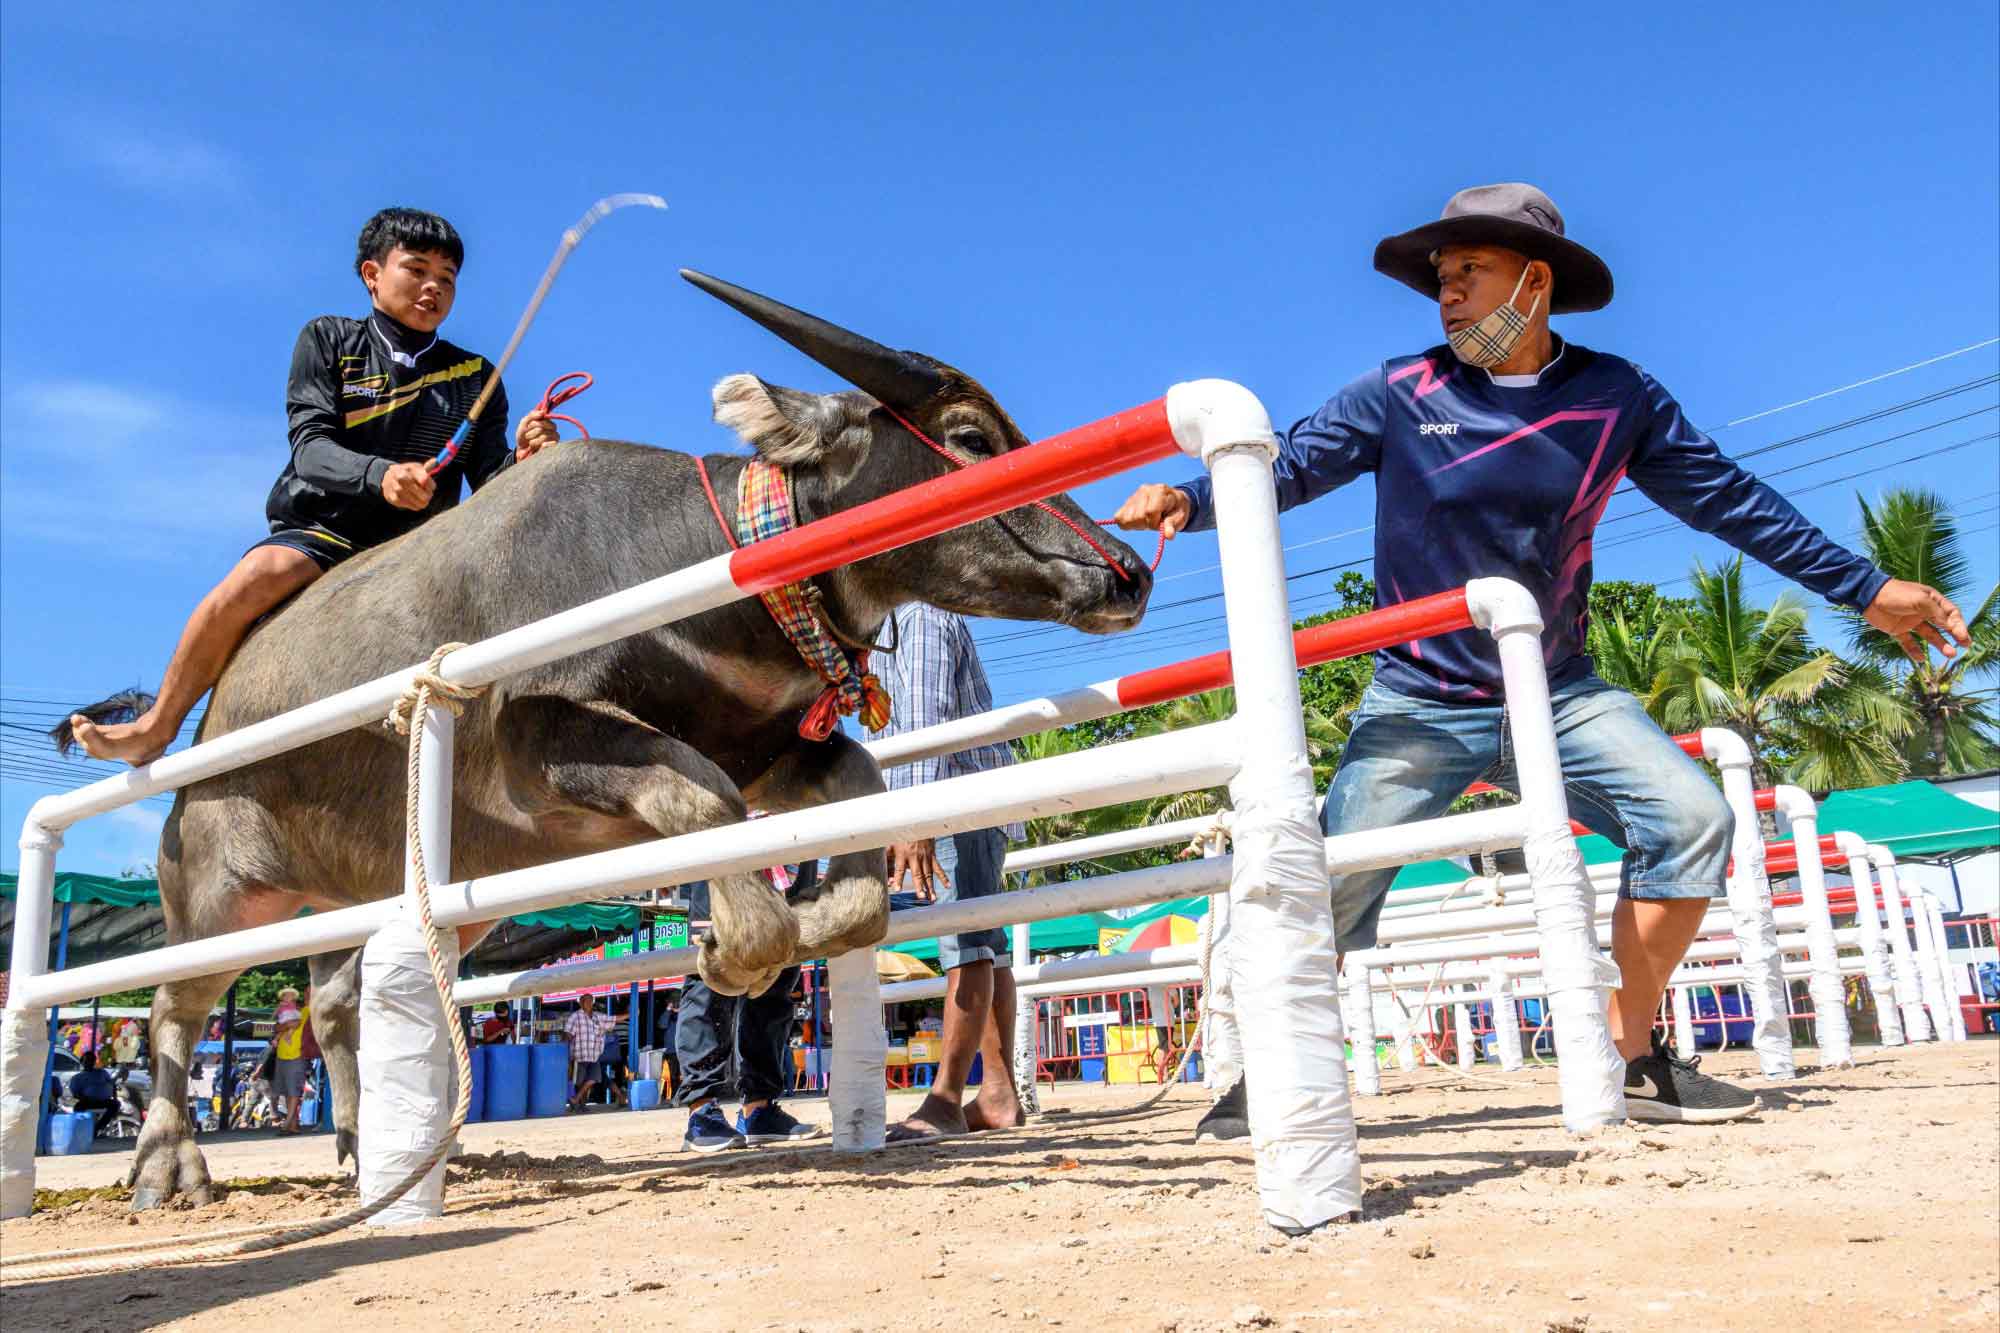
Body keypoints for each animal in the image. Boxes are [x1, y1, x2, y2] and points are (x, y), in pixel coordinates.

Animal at [61, 272, 1153, 1208]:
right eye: (966, 436)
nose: (1129, 570)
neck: (694, 571)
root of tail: (203, 726)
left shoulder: (777, 746)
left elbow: (855, 845)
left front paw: (800, 920)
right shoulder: (542, 742)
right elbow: (706, 802)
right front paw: (737, 945)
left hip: (419, 889)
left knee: (334, 1004)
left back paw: (371, 1148)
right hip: (220, 891)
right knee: (172, 1009)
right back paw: (169, 1165)